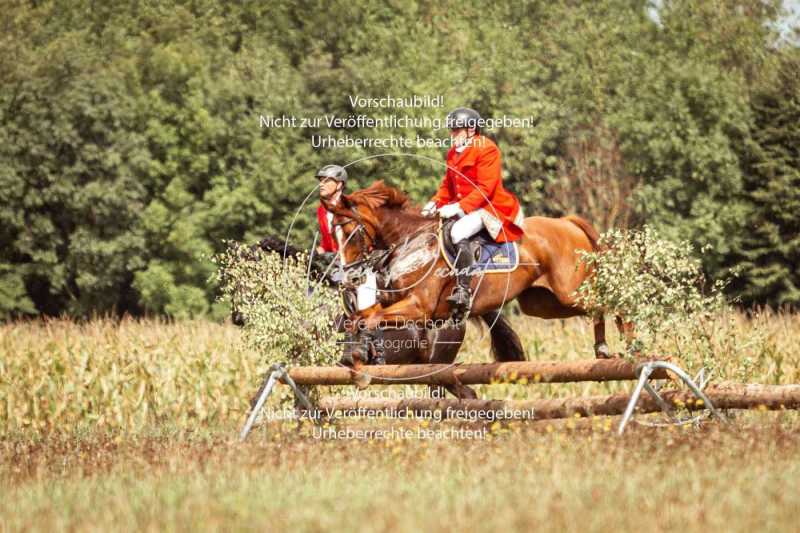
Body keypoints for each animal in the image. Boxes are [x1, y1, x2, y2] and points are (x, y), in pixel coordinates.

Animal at [324, 180, 632, 366]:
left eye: (349, 232)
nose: (346, 274)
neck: (412, 243)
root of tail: (567, 222)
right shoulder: (393, 302)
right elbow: (360, 317)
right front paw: (357, 352)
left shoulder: (418, 307)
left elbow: (369, 317)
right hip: (544, 304)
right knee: (594, 308)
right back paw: (603, 349)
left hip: (570, 291)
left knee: (609, 301)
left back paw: (627, 339)